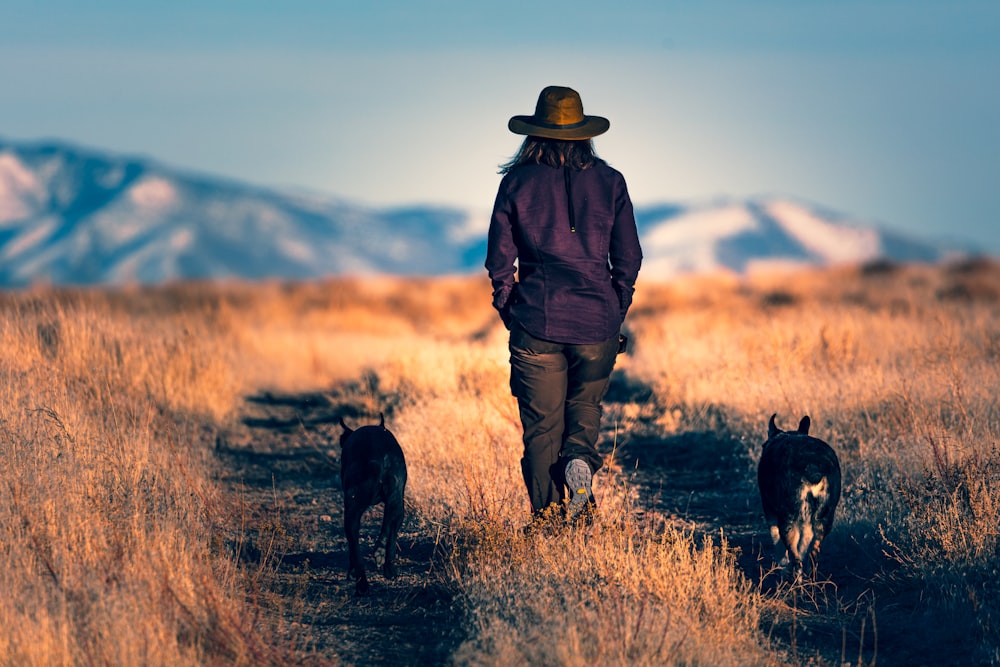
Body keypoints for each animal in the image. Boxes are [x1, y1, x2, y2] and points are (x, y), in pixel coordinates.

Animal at [340, 412, 406, 596]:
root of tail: (380, 458)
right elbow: (389, 531)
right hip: (396, 502)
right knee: (388, 531)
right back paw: (386, 567)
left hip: (353, 507)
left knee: (353, 540)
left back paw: (361, 581)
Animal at [756, 414, 844, 580]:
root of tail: (813, 467)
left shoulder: (769, 511)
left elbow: (778, 545)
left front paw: (782, 570)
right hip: (823, 521)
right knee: (811, 555)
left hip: (789, 522)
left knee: (795, 557)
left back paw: (795, 580)